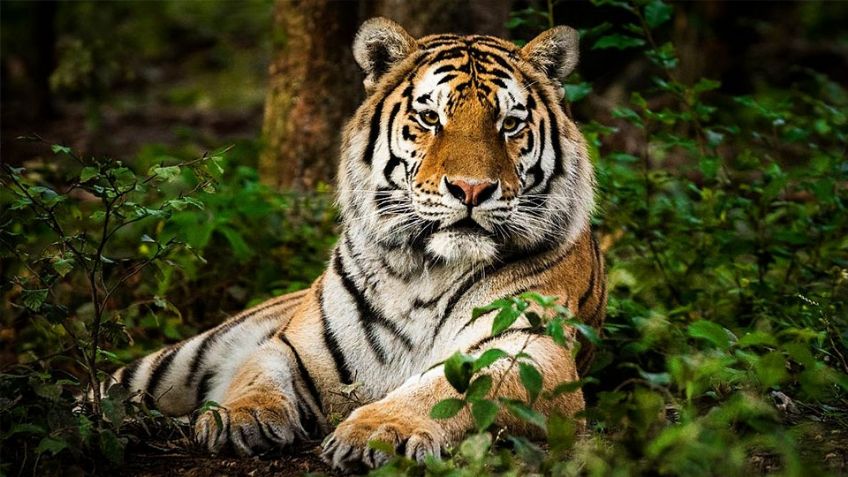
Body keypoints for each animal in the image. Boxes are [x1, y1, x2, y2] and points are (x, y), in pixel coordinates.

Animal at [104, 17, 606, 471]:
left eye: (510, 124)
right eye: (430, 118)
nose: (471, 189)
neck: (424, 270)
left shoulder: (530, 350)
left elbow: (446, 389)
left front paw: (380, 432)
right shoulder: (294, 346)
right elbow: (257, 375)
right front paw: (237, 417)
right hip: (179, 361)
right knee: (111, 385)